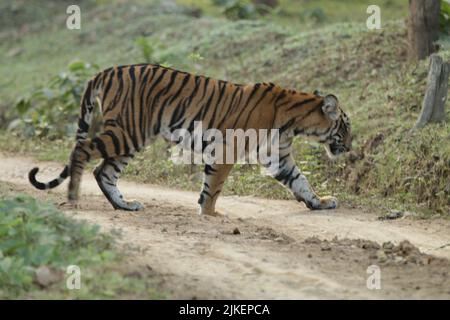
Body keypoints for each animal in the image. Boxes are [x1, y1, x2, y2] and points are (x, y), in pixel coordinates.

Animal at [27, 63, 352, 215]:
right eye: (345, 127)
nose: (350, 148)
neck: (294, 122)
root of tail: (106, 71)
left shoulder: (277, 157)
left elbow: (301, 181)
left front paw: (320, 202)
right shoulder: (227, 149)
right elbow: (214, 187)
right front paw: (209, 214)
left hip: (132, 138)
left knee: (103, 171)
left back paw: (125, 205)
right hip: (126, 132)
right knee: (82, 150)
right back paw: (73, 197)